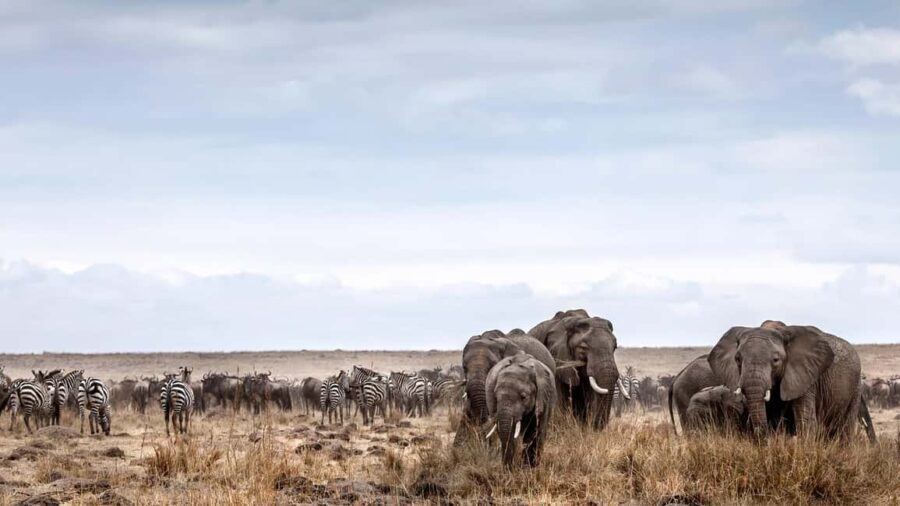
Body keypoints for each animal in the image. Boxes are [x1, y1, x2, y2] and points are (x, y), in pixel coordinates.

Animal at [708, 322, 868, 439]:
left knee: (844, 431)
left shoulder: (807, 378)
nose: (759, 433)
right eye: (737, 359)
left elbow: (805, 421)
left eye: (775, 360)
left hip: (856, 388)